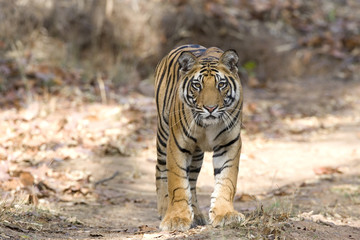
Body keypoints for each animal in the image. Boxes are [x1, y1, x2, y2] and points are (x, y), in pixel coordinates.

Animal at [155, 43, 245, 231]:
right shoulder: (176, 144)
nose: (210, 108)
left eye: (221, 84)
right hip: (163, 134)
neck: (208, 126)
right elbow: (177, 183)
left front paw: (225, 214)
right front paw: (176, 219)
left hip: (196, 154)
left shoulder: (229, 144)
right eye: (197, 85)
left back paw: (196, 215)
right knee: (160, 169)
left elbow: (227, 181)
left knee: (192, 182)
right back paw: (164, 209)